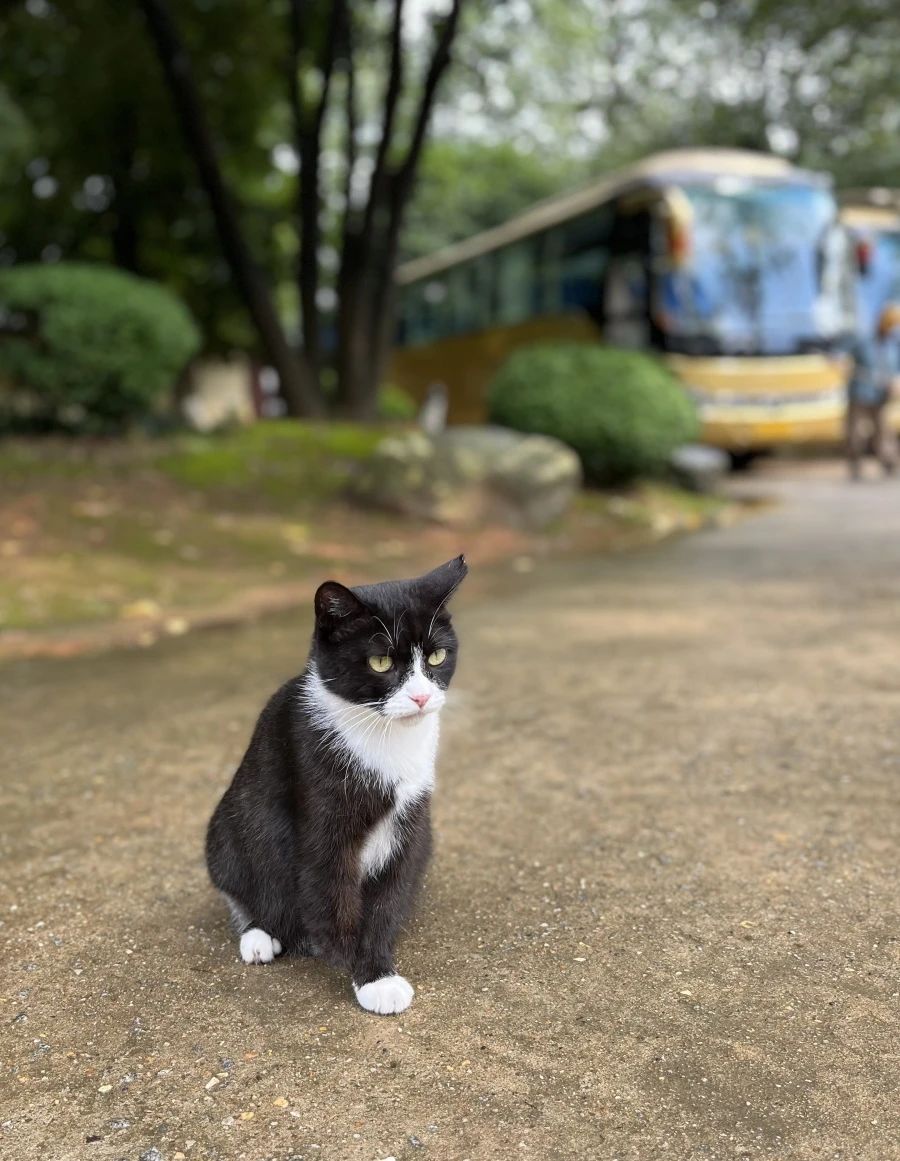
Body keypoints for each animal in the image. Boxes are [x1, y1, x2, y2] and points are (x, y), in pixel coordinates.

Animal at [206, 557, 469, 1012]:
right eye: (380, 663)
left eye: (437, 656)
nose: (420, 697)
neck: (383, 736)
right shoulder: (322, 806)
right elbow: (331, 888)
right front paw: (369, 976)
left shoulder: (411, 820)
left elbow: (389, 894)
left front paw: (377, 965)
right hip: (229, 826)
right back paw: (260, 933)